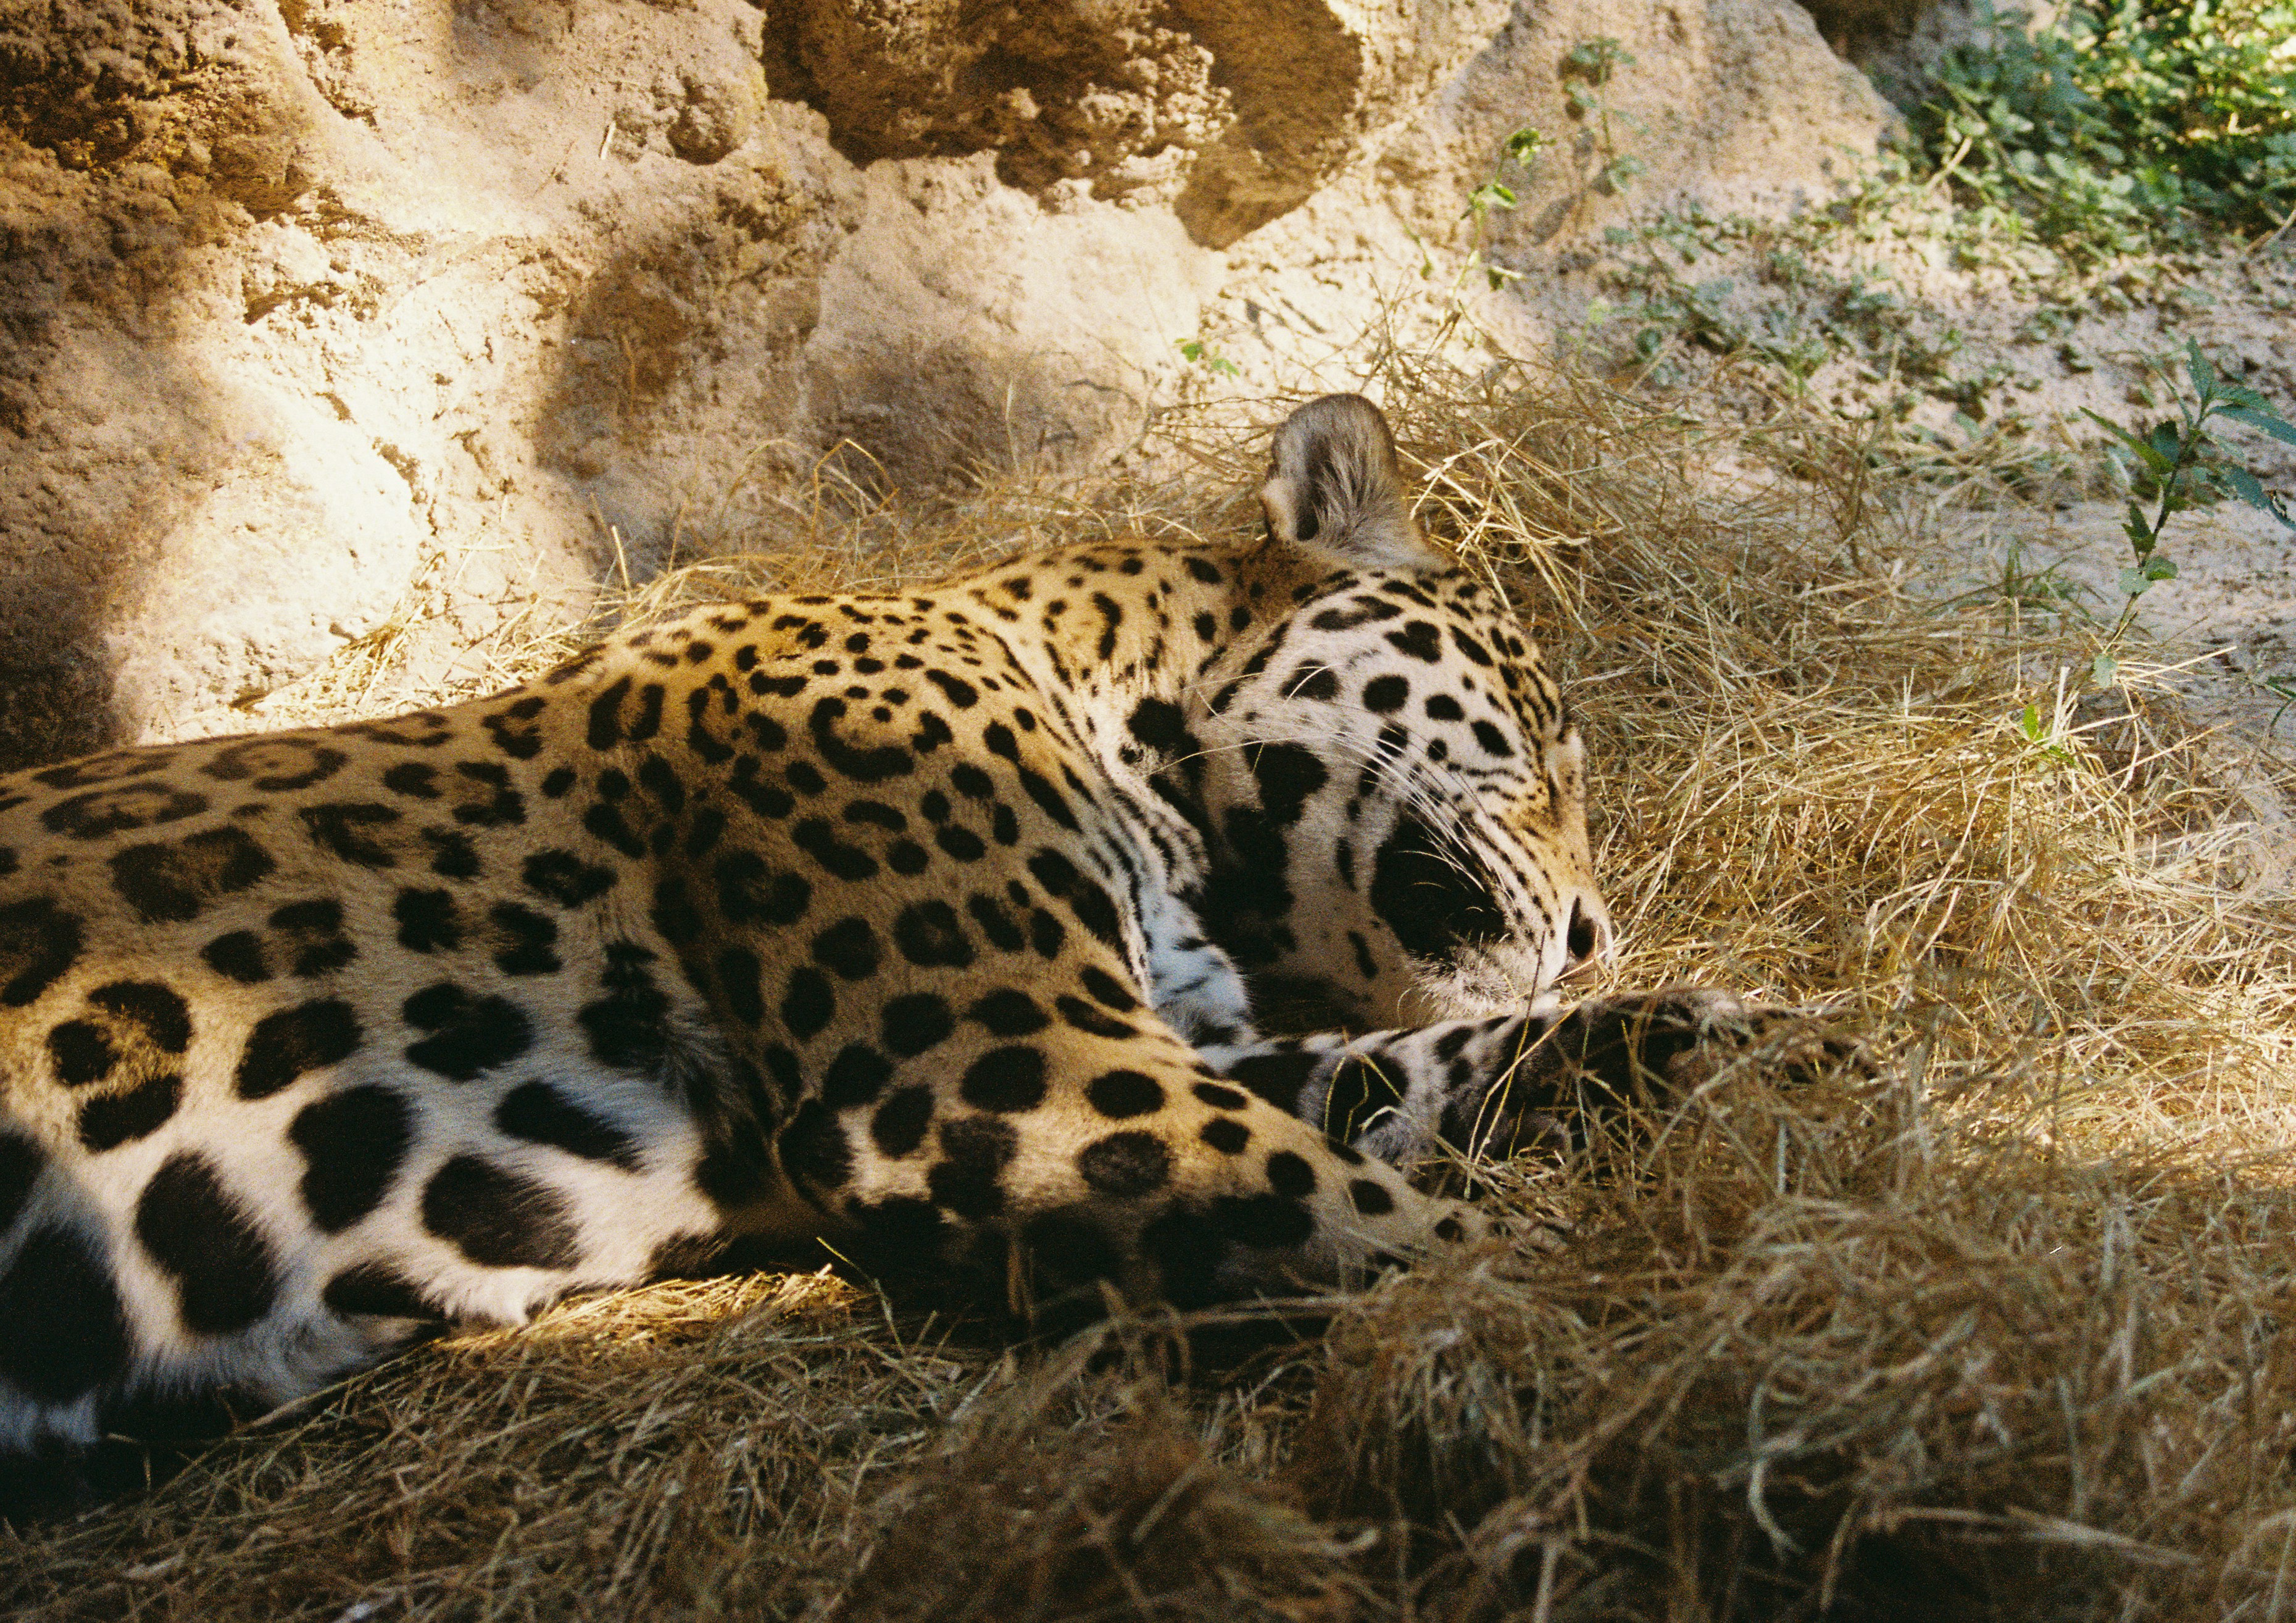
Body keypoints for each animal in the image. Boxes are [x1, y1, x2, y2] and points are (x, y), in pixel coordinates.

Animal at [0, 393, 1781, 1495]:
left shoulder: (1180, 1045)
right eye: (1538, 733)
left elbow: (1430, 1069)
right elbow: (1434, 1235)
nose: (1595, 932)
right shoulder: (1016, 1064)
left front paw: (1754, 1038)